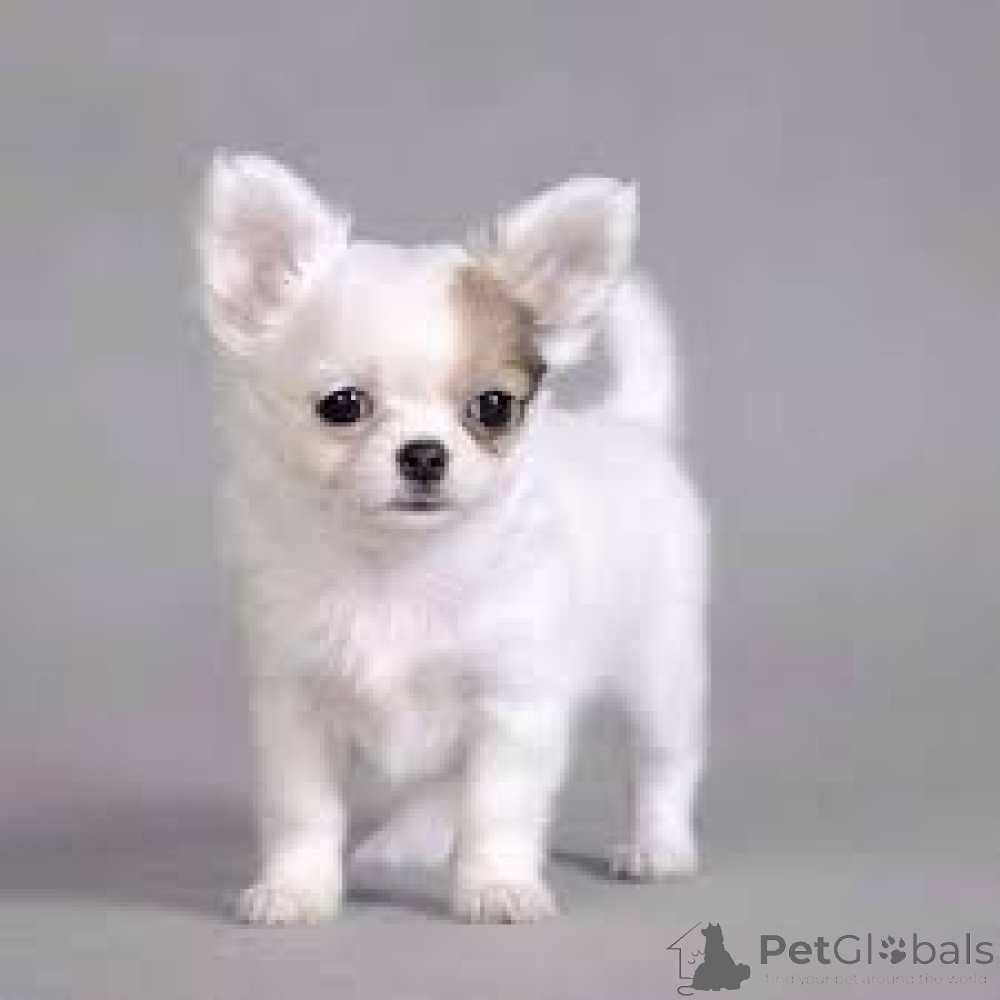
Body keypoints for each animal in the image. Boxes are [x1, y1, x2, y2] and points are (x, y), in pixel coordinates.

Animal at [195, 154, 708, 924]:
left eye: (492, 407)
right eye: (341, 406)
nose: (425, 453)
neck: (396, 569)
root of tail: (631, 424)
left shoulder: (513, 704)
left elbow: (498, 806)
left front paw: (497, 886)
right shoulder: (297, 707)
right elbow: (303, 811)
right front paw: (296, 890)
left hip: (661, 667)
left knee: (661, 761)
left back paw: (659, 847)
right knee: (441, 785)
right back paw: (406, 842)